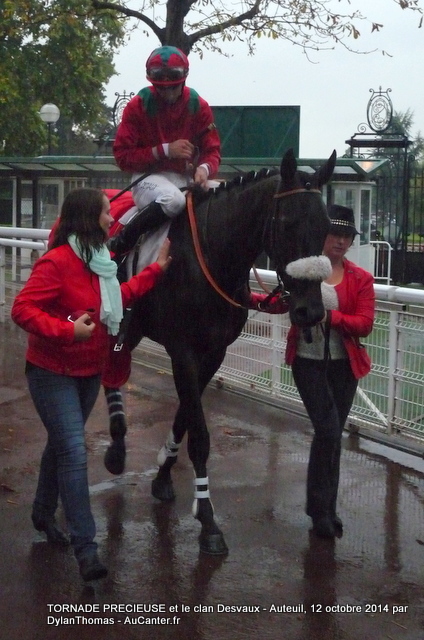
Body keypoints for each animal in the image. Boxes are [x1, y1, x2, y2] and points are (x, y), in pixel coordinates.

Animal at [102, 146, 334, 556]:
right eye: (287, 223)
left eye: (325, 227)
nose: (311, 311)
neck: (212, 257)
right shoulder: (183, 351)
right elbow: (200, 434)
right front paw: (208, 519)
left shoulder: (214, 353)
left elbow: (184, 417)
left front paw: (163, 474)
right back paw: (113, 448)